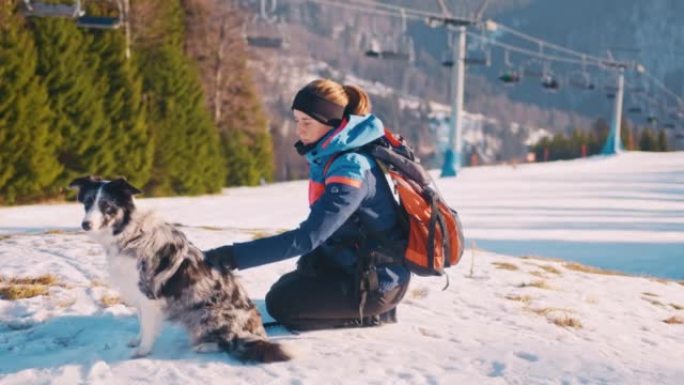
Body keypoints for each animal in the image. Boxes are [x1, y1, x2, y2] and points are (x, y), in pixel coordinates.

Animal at [70, 176, 292, 362]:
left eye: (106, 205)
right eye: (87, 203)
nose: (85, 224)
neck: (130, 234)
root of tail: (258, 333)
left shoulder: (149, 294)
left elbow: (147, 326)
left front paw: (143, 351)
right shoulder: (138, 293)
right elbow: (141, 323)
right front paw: (137, 341)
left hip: (205, 314)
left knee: (229, 343)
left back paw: (204, 346)